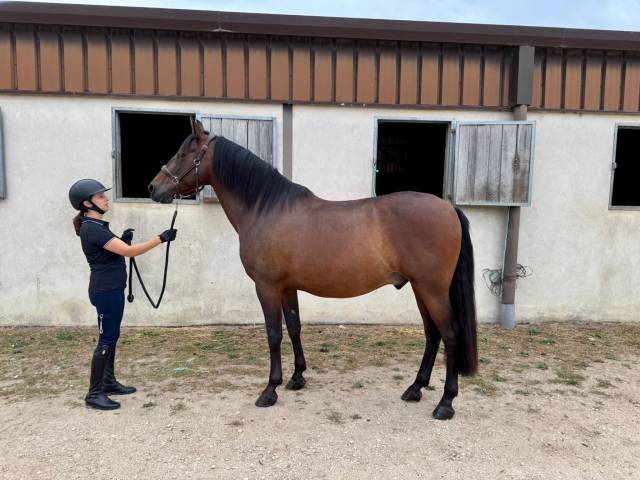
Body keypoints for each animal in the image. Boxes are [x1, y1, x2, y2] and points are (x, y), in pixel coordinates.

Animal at [148, 120, 477, 420]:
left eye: (183, 153)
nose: (153, 187)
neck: (267, 209)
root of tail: (448, 208)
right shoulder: (287, 287)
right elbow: (294, 327)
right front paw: (297, 378)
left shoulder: (266, 287)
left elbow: (273, 334)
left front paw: (270, 390)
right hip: (420, 289)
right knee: (432, 334)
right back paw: (415, 388)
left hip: (432, 289)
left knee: (450, 335)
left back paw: (445, 403)